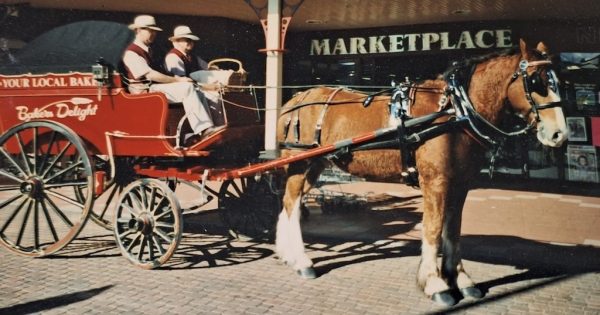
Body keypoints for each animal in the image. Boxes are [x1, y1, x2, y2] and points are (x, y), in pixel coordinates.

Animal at [276, 39, 568, 306]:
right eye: (536, 81)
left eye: (558, 81)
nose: (560, 134)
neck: (455, 111)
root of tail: (295, 99)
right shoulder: (435, 182)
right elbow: (433, 229)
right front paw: (435, 283)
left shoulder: (460, 183)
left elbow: (453, 230)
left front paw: (461, 279)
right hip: (299, 162)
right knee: (291, 203)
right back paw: (302, 261)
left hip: (314, 165)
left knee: (291, 203)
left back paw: (287, 254)